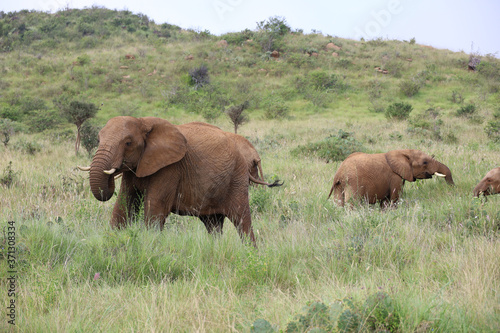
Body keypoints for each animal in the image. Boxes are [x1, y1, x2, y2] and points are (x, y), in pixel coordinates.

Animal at [78, 116, 282, 244]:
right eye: (98, 140)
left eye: (128, 143)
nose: (112, 172)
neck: (143, 121)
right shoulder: (134, 170)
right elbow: (123, 206)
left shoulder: (170, 168)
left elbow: (155, 208)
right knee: (213, 224)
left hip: (236, 178)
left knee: (242, 220)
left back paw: (251, 254)